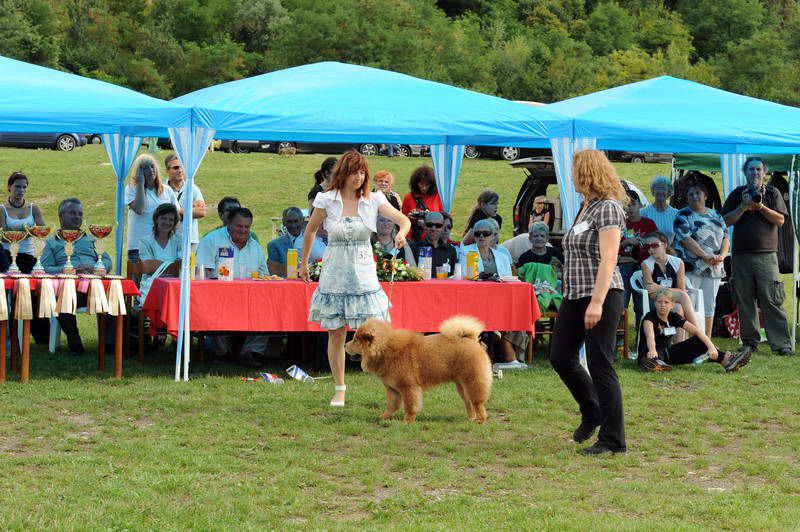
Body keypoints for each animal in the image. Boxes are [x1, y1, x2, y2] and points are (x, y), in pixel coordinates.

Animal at [346, 316, 490, 424]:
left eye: (355, 340)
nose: (345, 345)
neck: (385, 349)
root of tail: (471, 339)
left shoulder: (408, 387)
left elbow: (410, 405)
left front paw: (408, 420)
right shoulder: (392, 389)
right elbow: (391, 405)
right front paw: (384, 417)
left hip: (473, 381)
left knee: (477, 403)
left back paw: (481, 420)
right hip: (462, 386)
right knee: (469, 403)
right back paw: (470, 419)